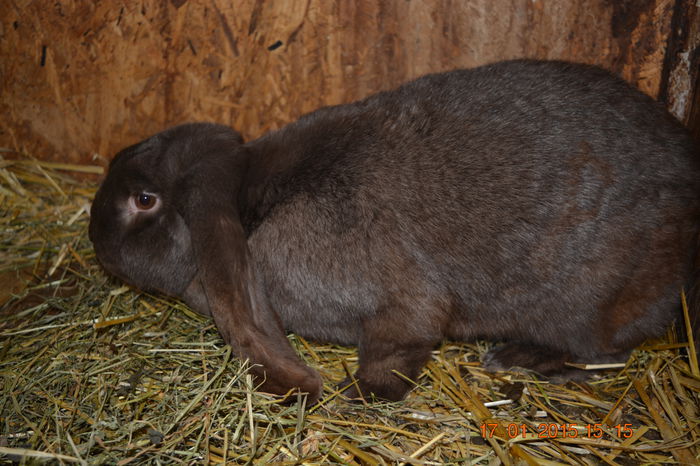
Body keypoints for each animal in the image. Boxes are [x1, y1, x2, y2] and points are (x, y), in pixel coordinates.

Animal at [89, 60, 700, 402]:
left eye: (144, 200)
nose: (95, 237)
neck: (251, 206)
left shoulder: (399, 307)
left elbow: (397, 346)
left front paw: (355, 394)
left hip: (590, 304)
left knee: (603, 354)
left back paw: (515, 359)